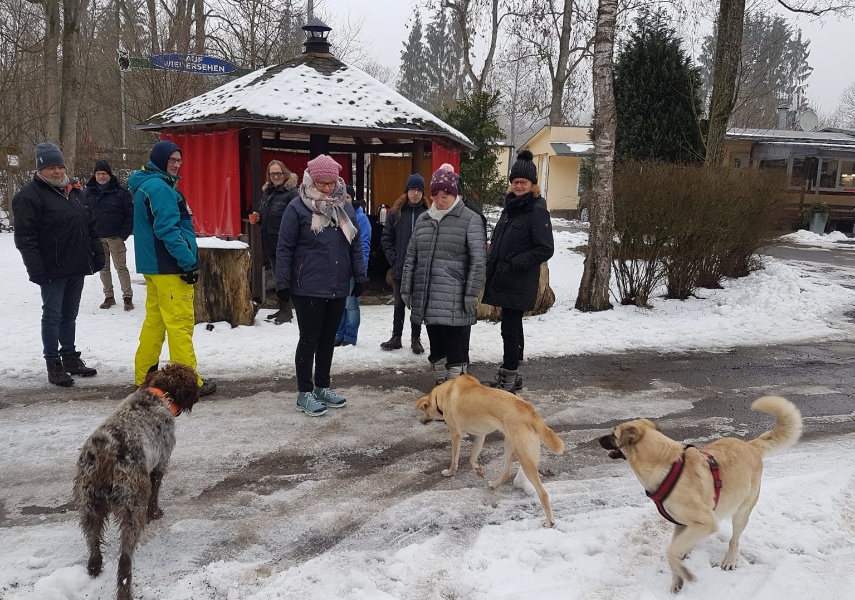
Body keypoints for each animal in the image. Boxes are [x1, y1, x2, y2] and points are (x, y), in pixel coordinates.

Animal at [416, 376, 564, 524]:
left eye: (424, 409)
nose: (420, 421)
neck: (442, 394)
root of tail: (531, 412)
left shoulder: (455, 434)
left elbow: (454, 459)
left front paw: (450, 472)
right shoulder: (480, 435)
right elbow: (472, 457)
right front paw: (478, 469)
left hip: (524, 458)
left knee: (543, 493)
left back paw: (549, 521)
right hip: (510, 445)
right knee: (507, 472)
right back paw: (494, 484)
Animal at [600, 396, 804, 592]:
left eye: (613, 433)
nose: (598, 439)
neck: (665, 466)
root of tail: (751, 446)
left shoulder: (706, 521)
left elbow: (670, 552)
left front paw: (684, 574)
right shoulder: (682, 523)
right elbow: (673, 550)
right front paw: (677, 579)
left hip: (741, 513)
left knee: (734, 539)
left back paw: (729, 560)